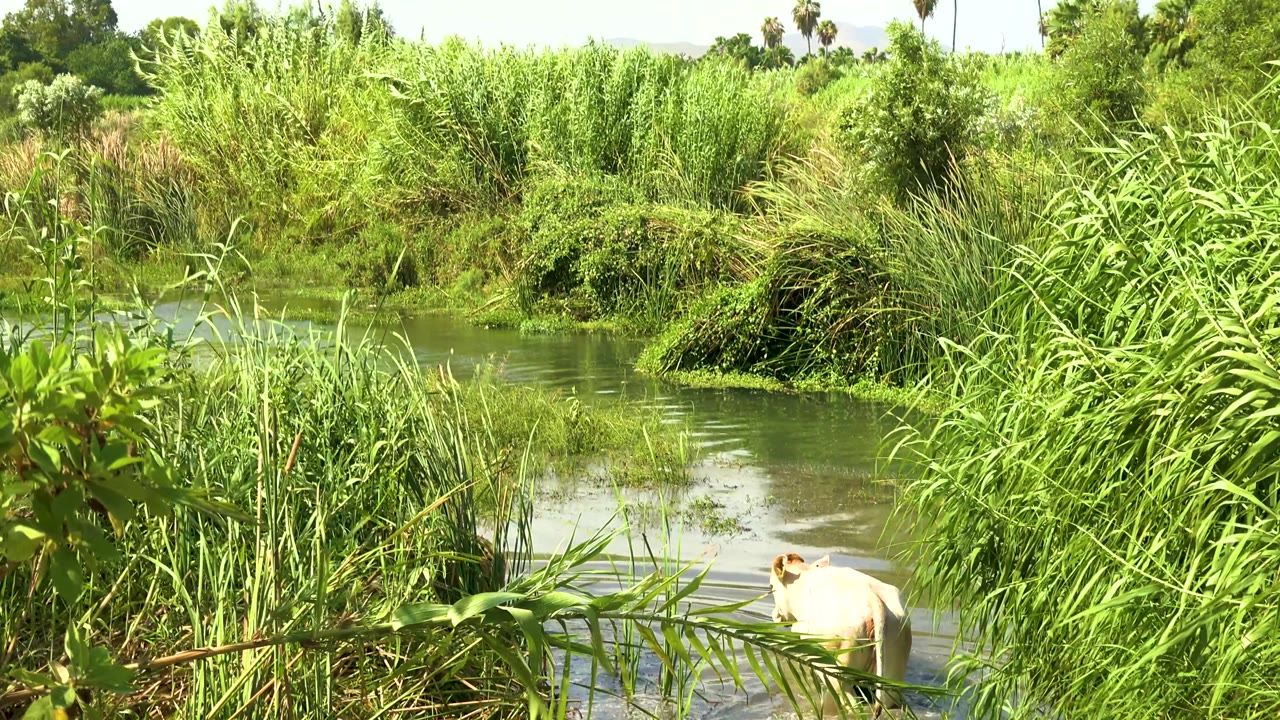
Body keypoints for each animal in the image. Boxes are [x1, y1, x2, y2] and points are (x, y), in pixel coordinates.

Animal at [768, 552, 913, 716]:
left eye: (771, 587)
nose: (775, 615)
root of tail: (871, 597)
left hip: (838, 673)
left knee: (852, 703)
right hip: (891, 676)